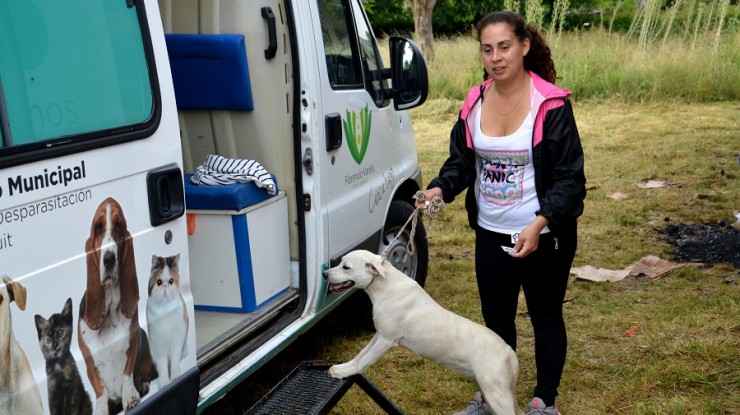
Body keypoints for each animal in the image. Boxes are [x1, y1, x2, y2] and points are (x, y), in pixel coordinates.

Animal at [322, 250, 520, 415]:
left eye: (346, 267)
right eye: (341, 263)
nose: (325, 274)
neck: (386, 286)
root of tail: (508, 351)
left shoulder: (386, 340)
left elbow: (364, 362)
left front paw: (344, 373)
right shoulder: (379, 335)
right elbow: (360, 355)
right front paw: (342, 368)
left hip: (497, 395)